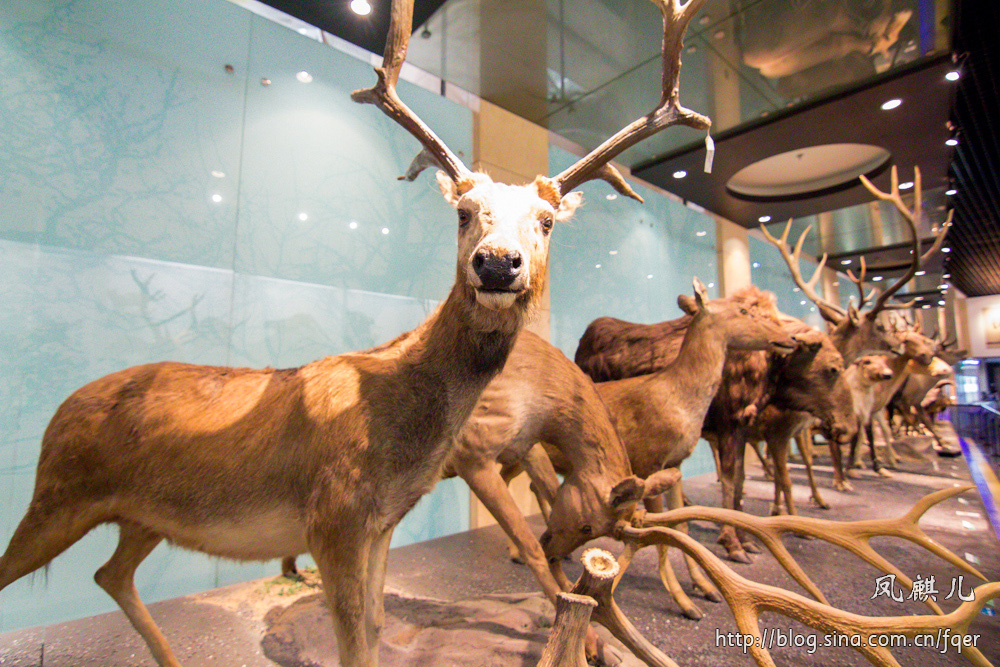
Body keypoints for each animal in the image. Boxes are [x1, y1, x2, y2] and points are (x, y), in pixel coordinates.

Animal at [0, 0, 720, 664]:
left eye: (545, 220)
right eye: (464, 212)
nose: (497, 262)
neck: (396, 421)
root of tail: (57, 412)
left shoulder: (379, 524)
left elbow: (374, 628)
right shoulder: (336, 518)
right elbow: (355, 637)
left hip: (142, 515)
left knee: (109, 572)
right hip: (58, 494)